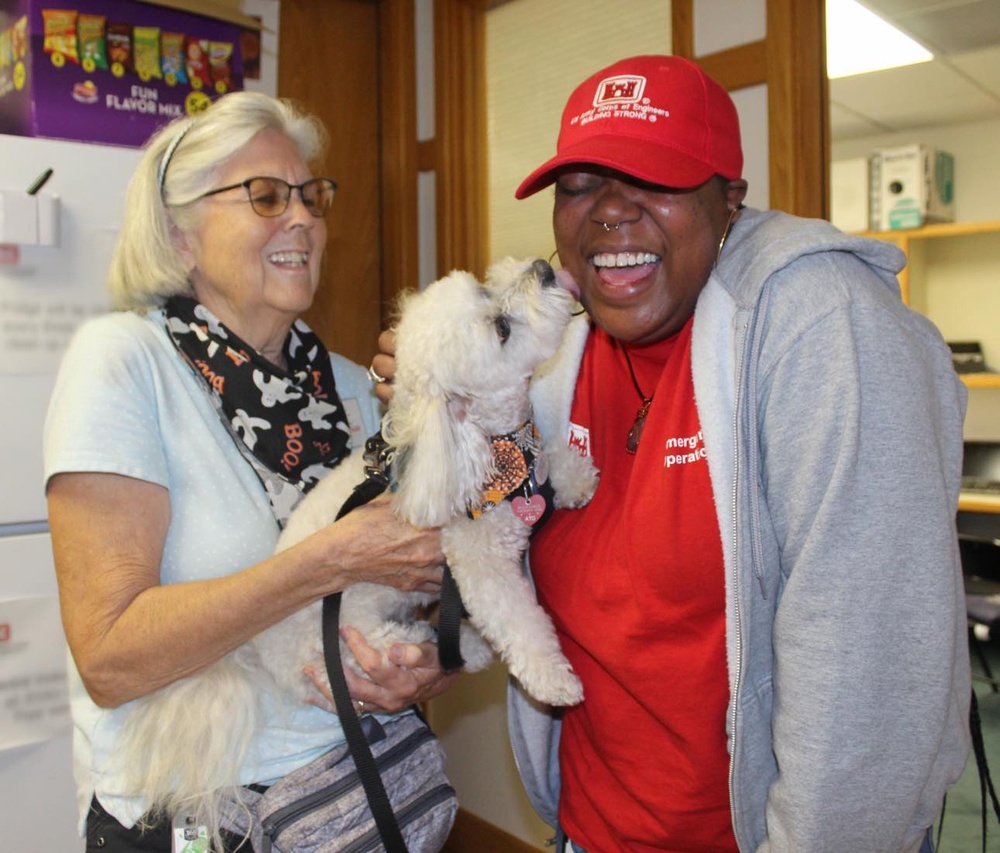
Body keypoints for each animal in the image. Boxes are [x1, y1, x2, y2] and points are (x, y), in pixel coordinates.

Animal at [120, 255, 596, 844]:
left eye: (487, 289)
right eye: (501, 328)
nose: (543, 269)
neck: (489, 450)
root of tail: (254, 654)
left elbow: (556, 460)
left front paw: (577, 480)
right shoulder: (480, 568)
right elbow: (521, 624)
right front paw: (556, 681)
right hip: (345, 646)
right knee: (390, 647)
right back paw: (442, 643)